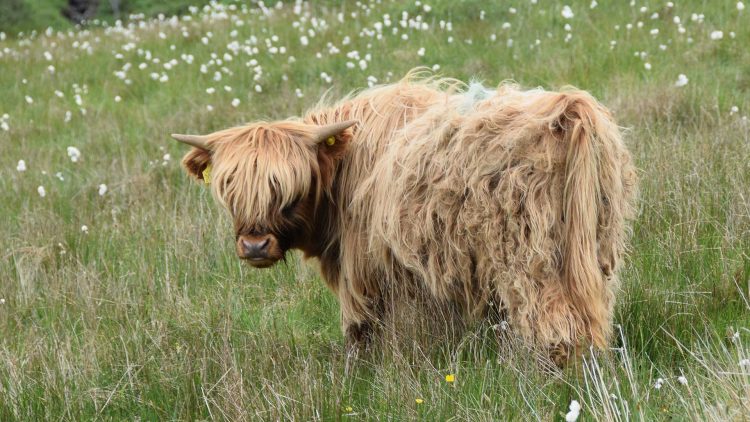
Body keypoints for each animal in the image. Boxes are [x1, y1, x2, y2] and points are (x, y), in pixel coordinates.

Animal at [172, 71, 637, 364]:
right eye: (229, 189)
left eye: (287, 189)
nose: (254, 246)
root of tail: (568, 107)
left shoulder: (364, 271)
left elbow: (362, 331)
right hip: (594, 253)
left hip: (531, 262)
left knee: (557, 328)